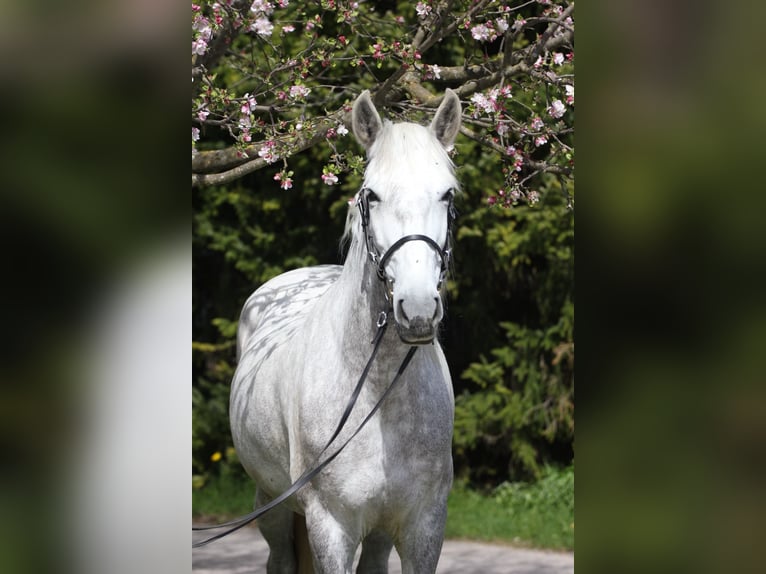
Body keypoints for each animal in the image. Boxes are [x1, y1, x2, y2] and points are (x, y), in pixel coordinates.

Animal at [229, 88, 462, 573]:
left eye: (446, 195)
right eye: (371, 195)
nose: (417, 310)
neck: (378, 398)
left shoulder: (424, 526)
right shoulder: (330, 526)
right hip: (271, 504)